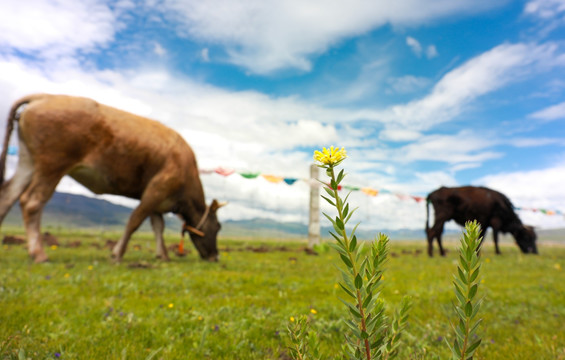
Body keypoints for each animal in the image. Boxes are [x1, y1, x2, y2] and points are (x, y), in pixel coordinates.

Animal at [0, 93, 225, 262]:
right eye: (218, 227)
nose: (215, 257)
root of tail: (44, 96)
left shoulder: (158, 198)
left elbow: (158, 227)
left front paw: (163, 255)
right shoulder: (157, 188)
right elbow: (135, 220)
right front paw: (117, 253)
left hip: (28, 162)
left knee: (7, 196)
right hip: (52, 166)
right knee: (31, 201)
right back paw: (39, 253)